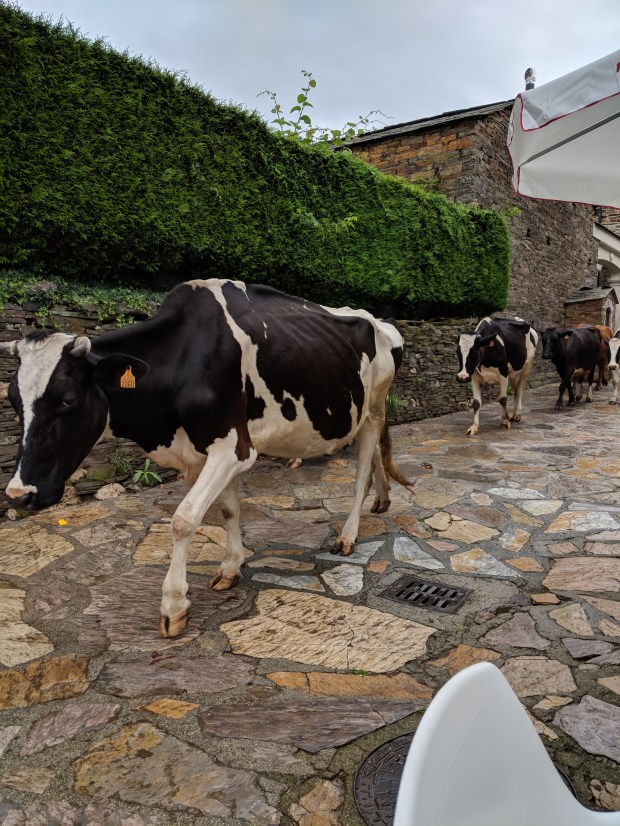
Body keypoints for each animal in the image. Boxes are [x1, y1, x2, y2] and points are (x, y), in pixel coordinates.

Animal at [1, 279, 410, 638]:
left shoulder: (234, 447)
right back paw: (383, 499)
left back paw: (348, 534)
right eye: (12, 401)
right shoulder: (203, 454)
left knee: (362, 470)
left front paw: (173, 605)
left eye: (67, 399)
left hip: (373, 407)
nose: (18, 495)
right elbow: (227, 510)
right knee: (378, 454)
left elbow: (184, 520)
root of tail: (378, 320)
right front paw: (230, 567)